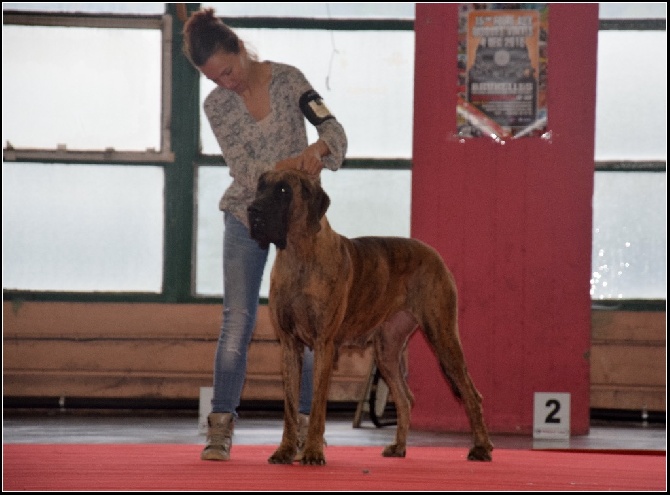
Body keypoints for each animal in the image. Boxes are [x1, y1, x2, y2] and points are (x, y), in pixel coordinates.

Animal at [247, 170, 494, 464]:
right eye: (261, 186)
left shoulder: (324, 345)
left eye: (284, 190)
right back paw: (399, 447)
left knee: (472, 394)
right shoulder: (289, 345)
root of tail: (434, 254)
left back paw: (481, 447)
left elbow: (317, 405)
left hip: (443, 337)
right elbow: (290, 407)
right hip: (386, 350)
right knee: (405, 398)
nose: (252, 210)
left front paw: (313, 451)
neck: (299, 254)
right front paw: (285, 450)